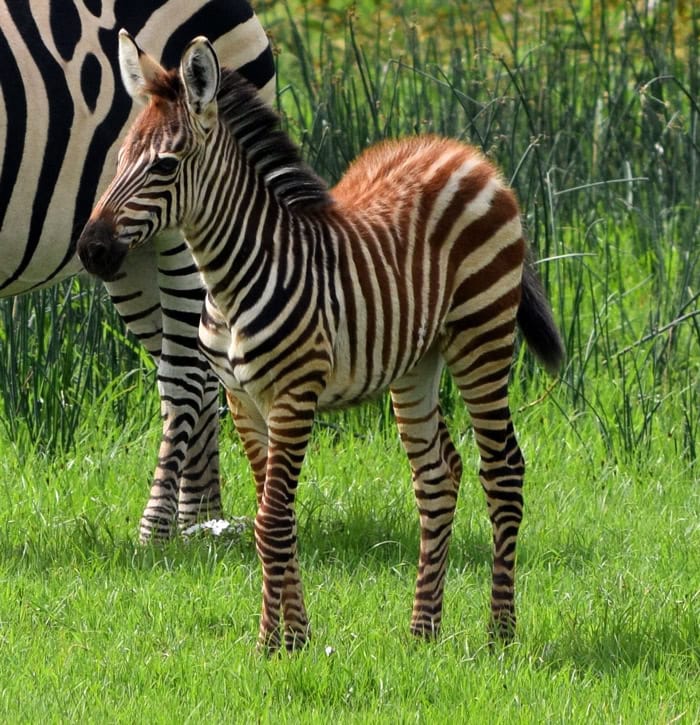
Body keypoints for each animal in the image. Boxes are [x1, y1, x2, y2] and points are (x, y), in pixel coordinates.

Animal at [0, 1, 275, 541]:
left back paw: (158, 530)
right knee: (195, 373)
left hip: (186, 232)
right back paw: (200, 521)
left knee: (185, 372)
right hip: (131, 254)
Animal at [77, 33, 565, 653]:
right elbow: (273, 514)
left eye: (165, 165)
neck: (234, 279)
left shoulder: (294, 394)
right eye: (119, 159)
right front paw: (293, 638)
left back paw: (499, 632)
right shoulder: (243, 399)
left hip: (482, 337)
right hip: (415, 363)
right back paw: (423, 630)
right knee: (437, 477)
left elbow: (271, 519)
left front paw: (273, 644)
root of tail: (465, 154)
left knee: (502, 470)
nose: (91, 250)